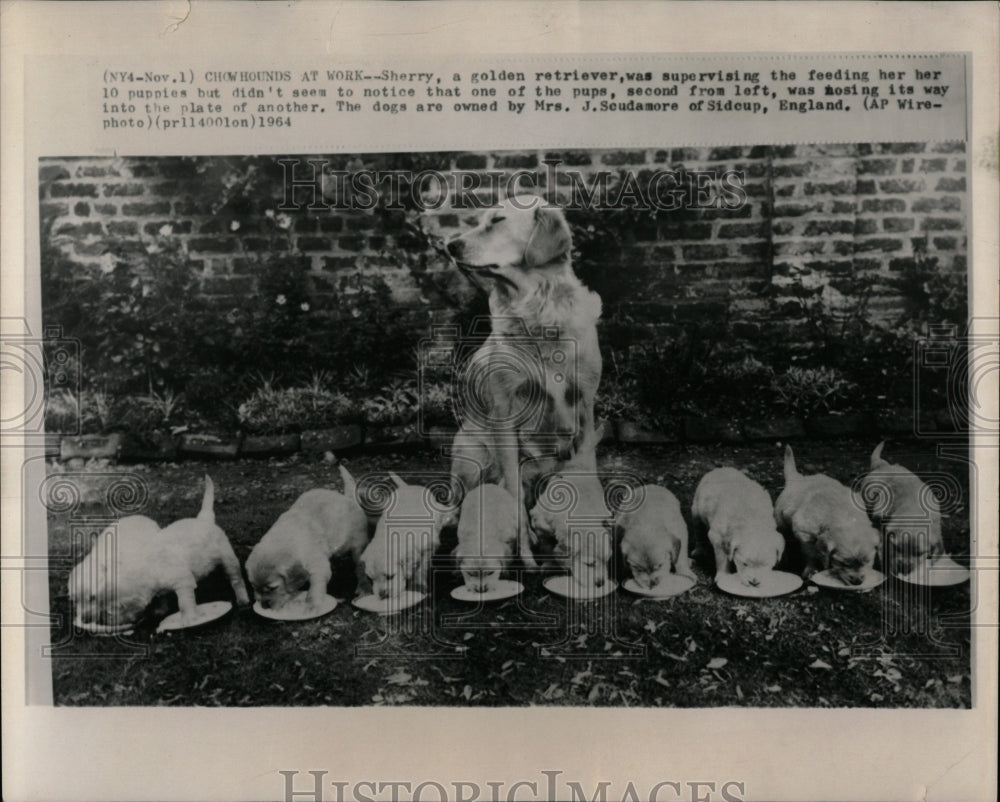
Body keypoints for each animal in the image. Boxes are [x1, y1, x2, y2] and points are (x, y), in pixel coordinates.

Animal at [71, 476, 249, 624]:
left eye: (110, 611)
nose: (101, 621)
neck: (147, 569)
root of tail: (204, 520)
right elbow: (162, 597)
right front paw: (159, 611)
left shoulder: (183, 580)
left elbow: (184, 602)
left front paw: (189, 618)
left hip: (227, 555)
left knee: (236, 578)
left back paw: (243, 599)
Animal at [246, 462, 372, 608]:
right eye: (254, 587)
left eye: (273, 588)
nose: (264, 605)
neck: (283, 539)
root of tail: (348, 498)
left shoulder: (318, 564)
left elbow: (316, 586)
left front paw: (312, 605)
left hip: (358, 546)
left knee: (360, 568)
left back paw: (364, 587)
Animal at [768, 444, 880, 580]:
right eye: (843, 563)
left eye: (868, 561)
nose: (857, 581)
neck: (843, 515)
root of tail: (797, 478)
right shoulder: (804, 534)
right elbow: (811, 554)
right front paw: (812, 569)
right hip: (780, 519)